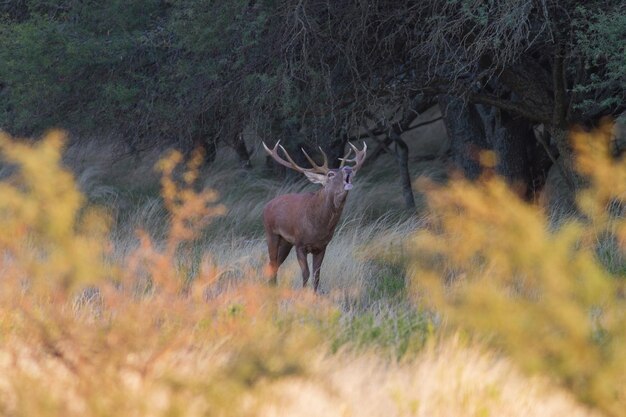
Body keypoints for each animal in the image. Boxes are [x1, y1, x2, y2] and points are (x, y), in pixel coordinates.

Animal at [260, 141, 366, 290]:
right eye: (330, 174)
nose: (348, 168)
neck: (318, 227)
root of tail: (267, 206)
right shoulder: (300, 244)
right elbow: (306, 273)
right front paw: (303, 293)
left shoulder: (322, 246)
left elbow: (317, 276)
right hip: (271, 233)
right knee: (272, 263)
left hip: (286, 242)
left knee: (275, 264)